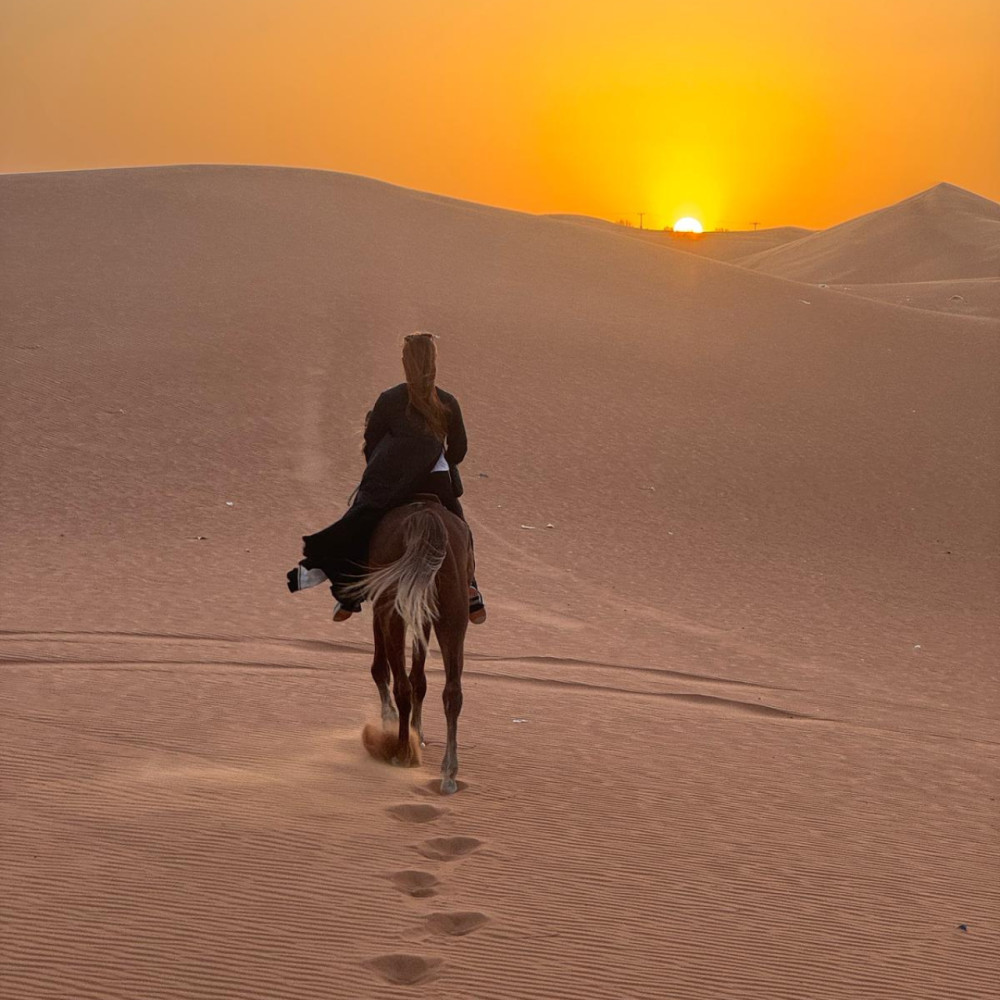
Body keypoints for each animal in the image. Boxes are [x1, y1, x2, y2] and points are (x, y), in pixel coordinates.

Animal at [345, 497, 473, 795]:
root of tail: (426, 514)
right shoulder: (422, 611)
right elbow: (420, 678)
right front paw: (419, 732)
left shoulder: (383, 608)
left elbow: (382, 669)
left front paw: (390, 720)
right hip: (453, 614)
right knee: (452, 692)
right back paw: (448, 773)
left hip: (393, 611)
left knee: (401, 685)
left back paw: (402, 752)